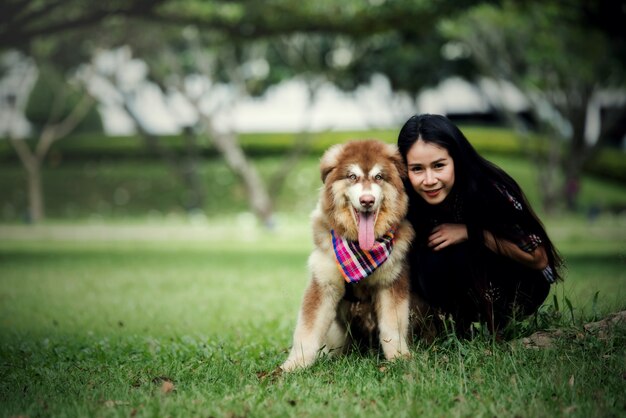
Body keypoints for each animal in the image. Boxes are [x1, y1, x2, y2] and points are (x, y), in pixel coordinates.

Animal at [280, 140, 412, 372]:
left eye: (379, 177)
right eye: (352, 176)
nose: (367, 200)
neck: (362, 253)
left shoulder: (391, 282)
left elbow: (392, 327)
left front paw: (398, 358)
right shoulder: (324, 282)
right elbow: (307, 329)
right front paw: (295, 365)